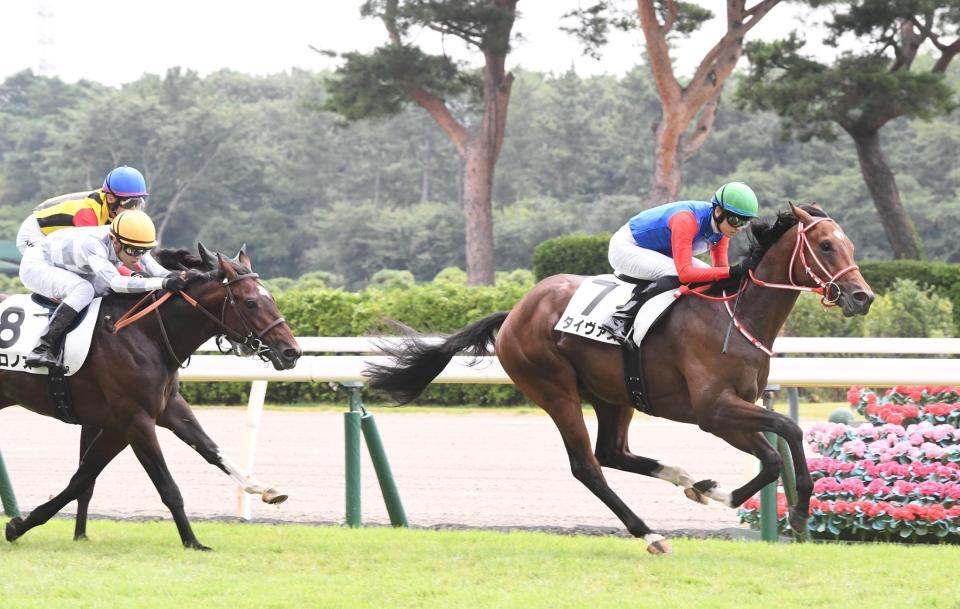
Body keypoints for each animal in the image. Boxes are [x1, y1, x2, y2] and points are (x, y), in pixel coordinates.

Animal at [0, 244, 301, 549]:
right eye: (251, 302)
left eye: (272, 298)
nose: (292, 352)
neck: (145, 333)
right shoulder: (135, 420)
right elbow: (166, 486)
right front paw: (192, 541)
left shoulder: (159, 412)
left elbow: (209, 449)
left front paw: (263, 488)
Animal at [365, 203, 874, 555]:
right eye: (826, 246)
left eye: (850, 245)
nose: (862, 297)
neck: (733, 315)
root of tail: (514, 313)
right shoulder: (713, 411)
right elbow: (781, 440)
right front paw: (774, 504)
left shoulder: (732, 410)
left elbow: (776, 447)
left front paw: (717, 491)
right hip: (556, 391)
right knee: (588, 465)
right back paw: (650, 533)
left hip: (615, 395)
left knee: (613, 452)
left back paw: (683, 477)